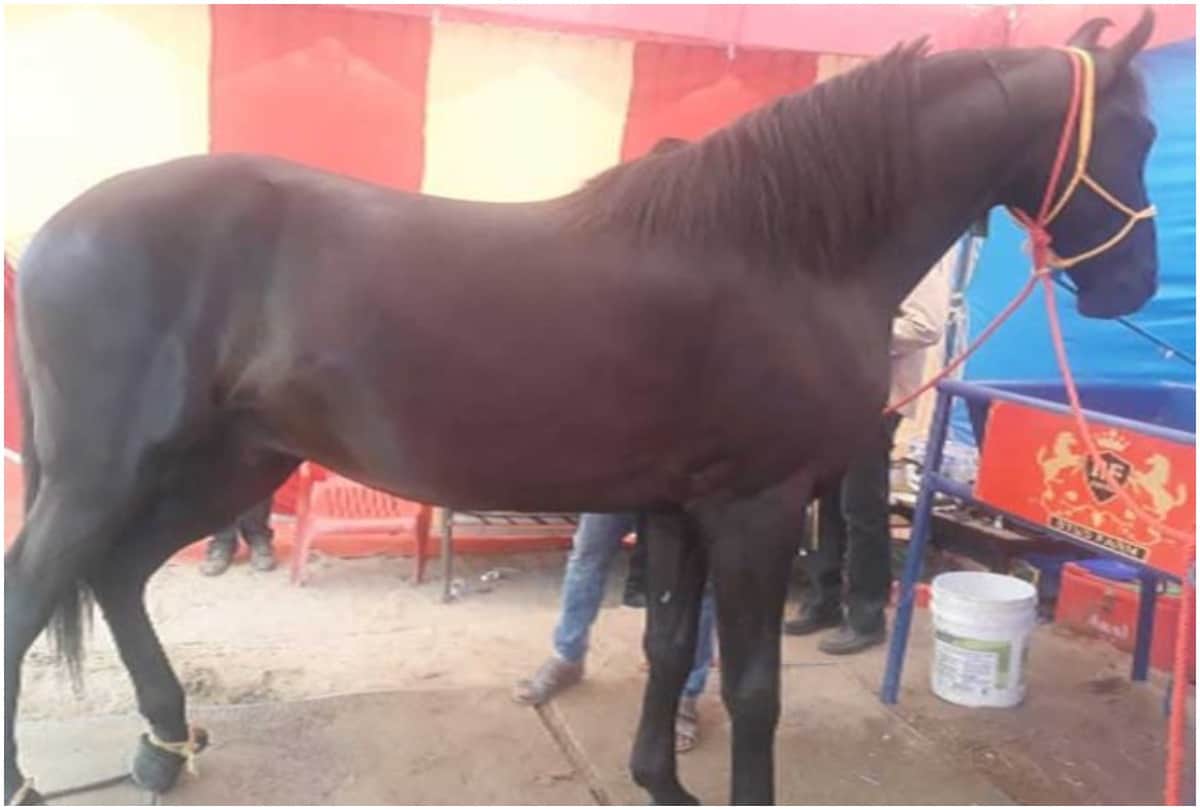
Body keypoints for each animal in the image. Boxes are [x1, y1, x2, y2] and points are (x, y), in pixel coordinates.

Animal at [5, 11, 1159, 806]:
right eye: (1142, 130)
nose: (1132, 287)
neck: (781, 251)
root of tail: (54, 231)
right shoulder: (759, 509)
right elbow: (752, 687)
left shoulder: (685, 509)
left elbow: (666, 650)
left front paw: (662, 781)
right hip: (110, 473)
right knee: (34, 589)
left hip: (227, 465)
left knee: (117, 576)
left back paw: (162, 748)